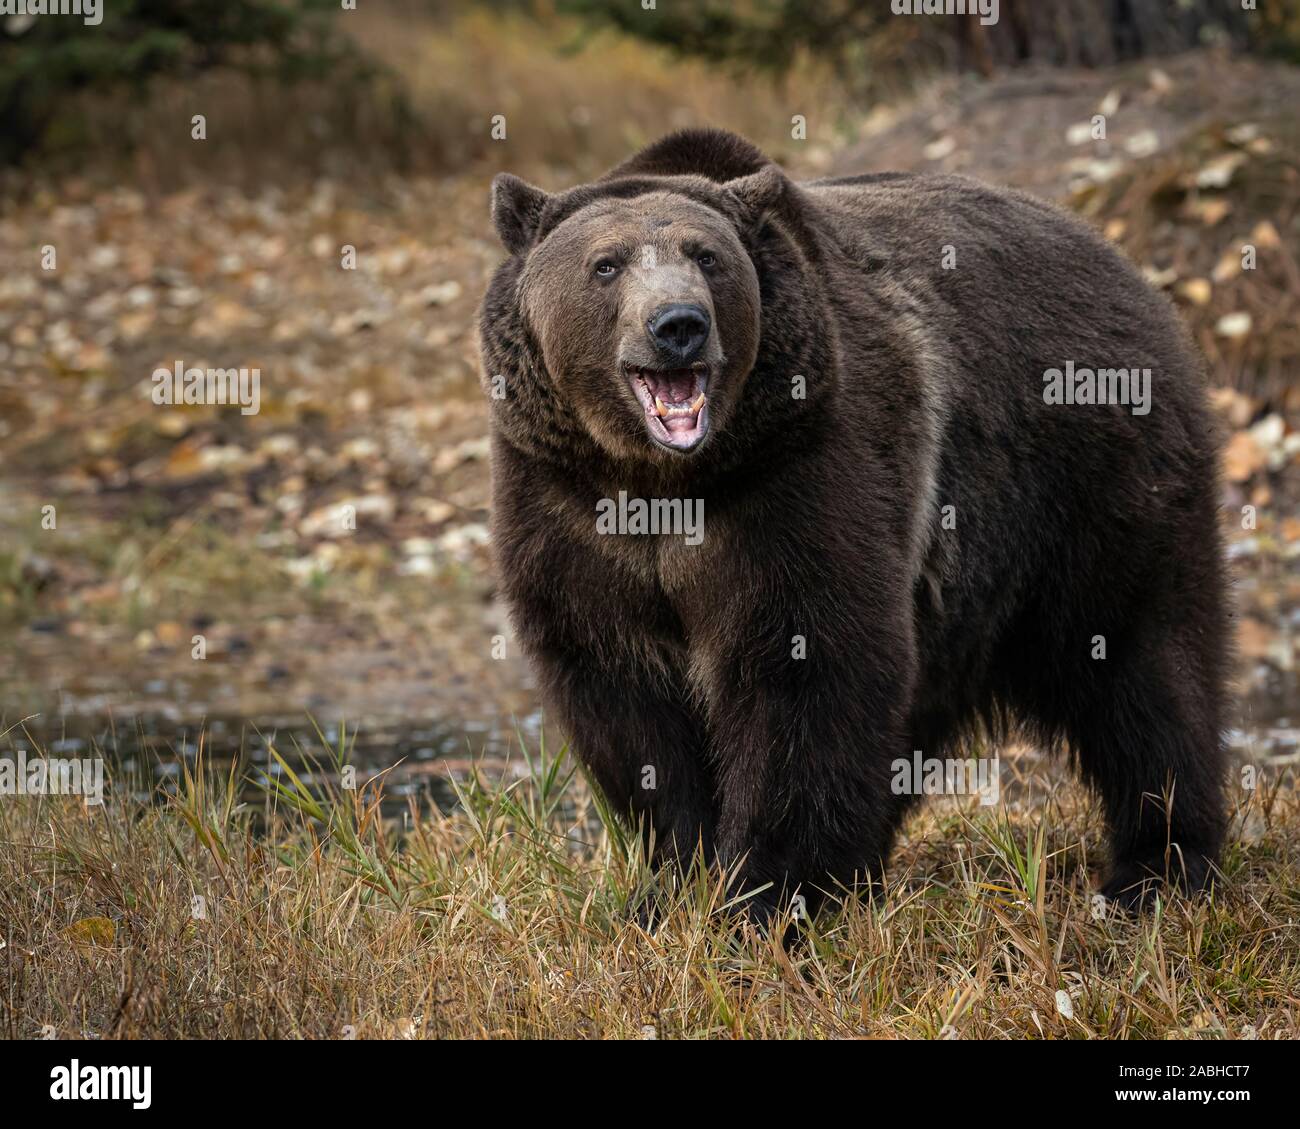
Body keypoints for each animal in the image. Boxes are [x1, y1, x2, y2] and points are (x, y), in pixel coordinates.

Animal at [478, 127, 1229, 919]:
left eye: (706, 256)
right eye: (607, 263)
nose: (678, 326)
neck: (663, 479)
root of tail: (1122, 262)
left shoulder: (795, 474)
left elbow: (806, 665)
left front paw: (766, 894)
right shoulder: (568, 510)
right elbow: (623, 693)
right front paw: (677, 882)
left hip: (1091, 477)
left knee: (1142, 662)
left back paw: (1158, 865)